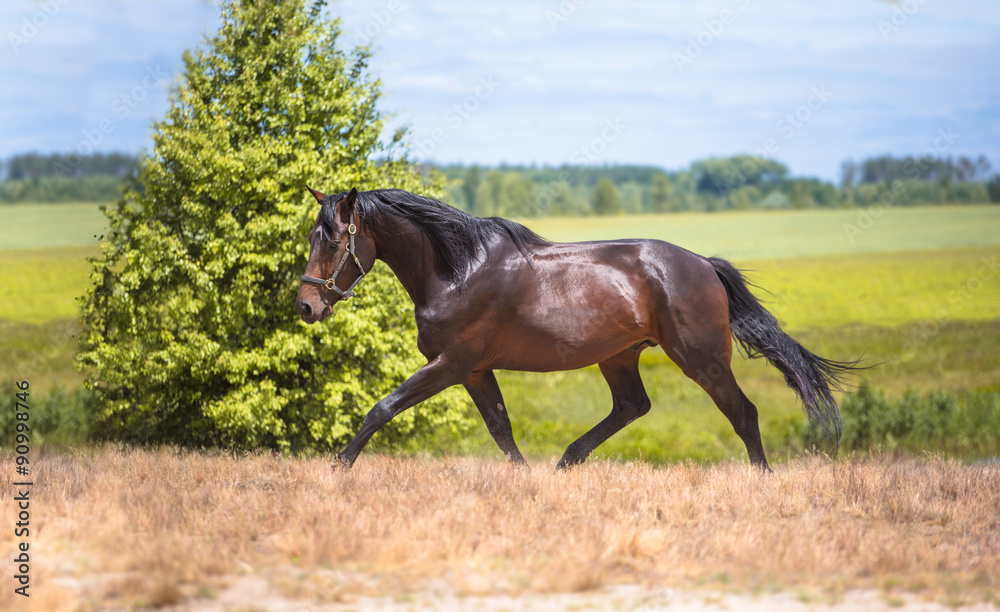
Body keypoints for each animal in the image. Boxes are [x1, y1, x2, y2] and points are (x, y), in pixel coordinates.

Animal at [295, 187, 858, 471]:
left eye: (333, 238)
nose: (305, 305)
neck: (456, 271)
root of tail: (703, 264)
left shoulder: (449, 364)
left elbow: (382, 407)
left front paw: (338, 467)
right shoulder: (474, 370)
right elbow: (501, 428)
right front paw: (524, 476)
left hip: (701, 359)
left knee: (743, 412)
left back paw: (762, 476)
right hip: (620, 355)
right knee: (632, 406)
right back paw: (567, 461)